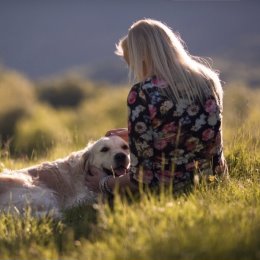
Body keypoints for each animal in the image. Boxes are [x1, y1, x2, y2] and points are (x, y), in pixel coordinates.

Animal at [0, 136, 129, 217]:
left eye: (125, 147)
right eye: (104, 149)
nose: (121, 156)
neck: (84, 170)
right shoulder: (81, 197)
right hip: (42, 193)